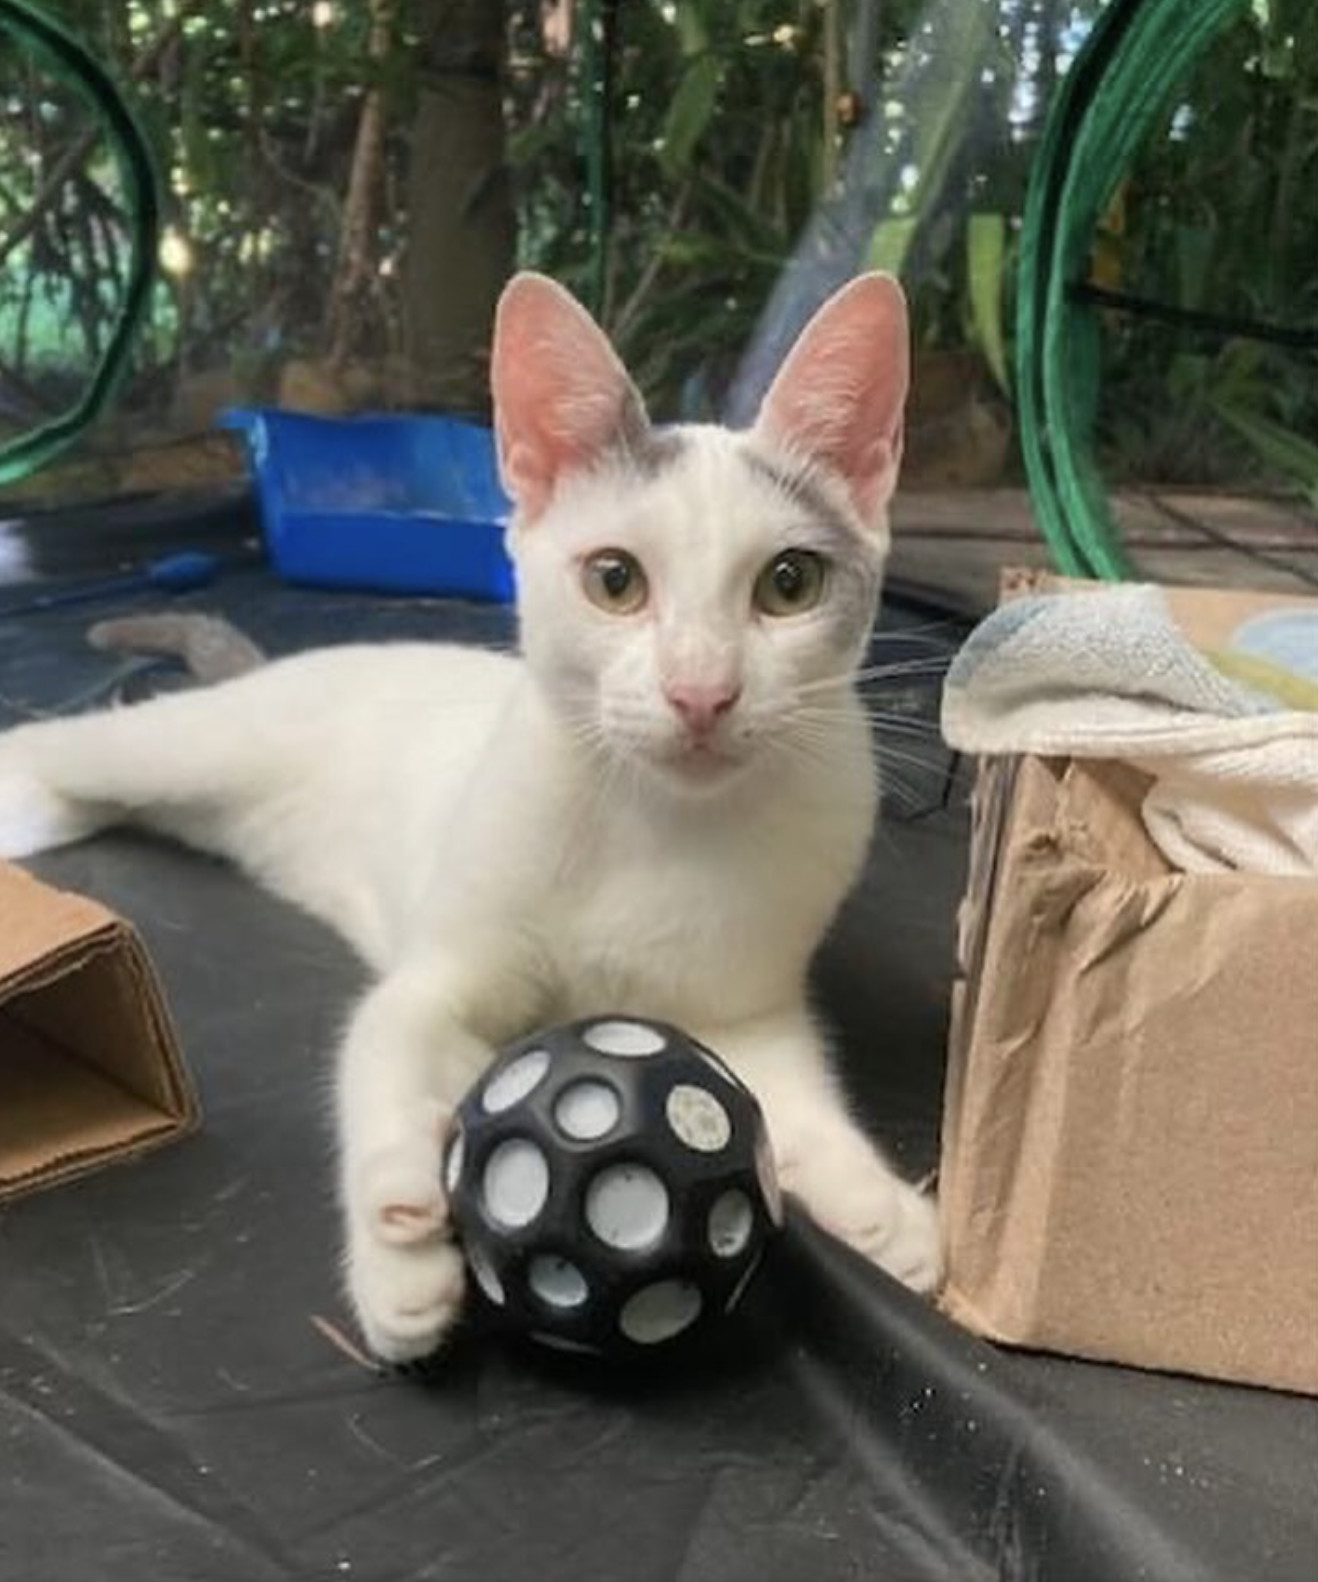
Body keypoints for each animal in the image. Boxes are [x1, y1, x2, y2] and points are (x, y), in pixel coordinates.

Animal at [0, 272, 936, 1360]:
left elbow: (795, 1095)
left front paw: (882, 1213)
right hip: (191, 743)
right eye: (615, 579)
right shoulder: (442, 974)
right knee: (74, 742)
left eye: (789, 583)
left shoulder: (745, 1008)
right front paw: (399, 1239)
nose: (701, 694)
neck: (658, 820)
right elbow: (384, 1046)